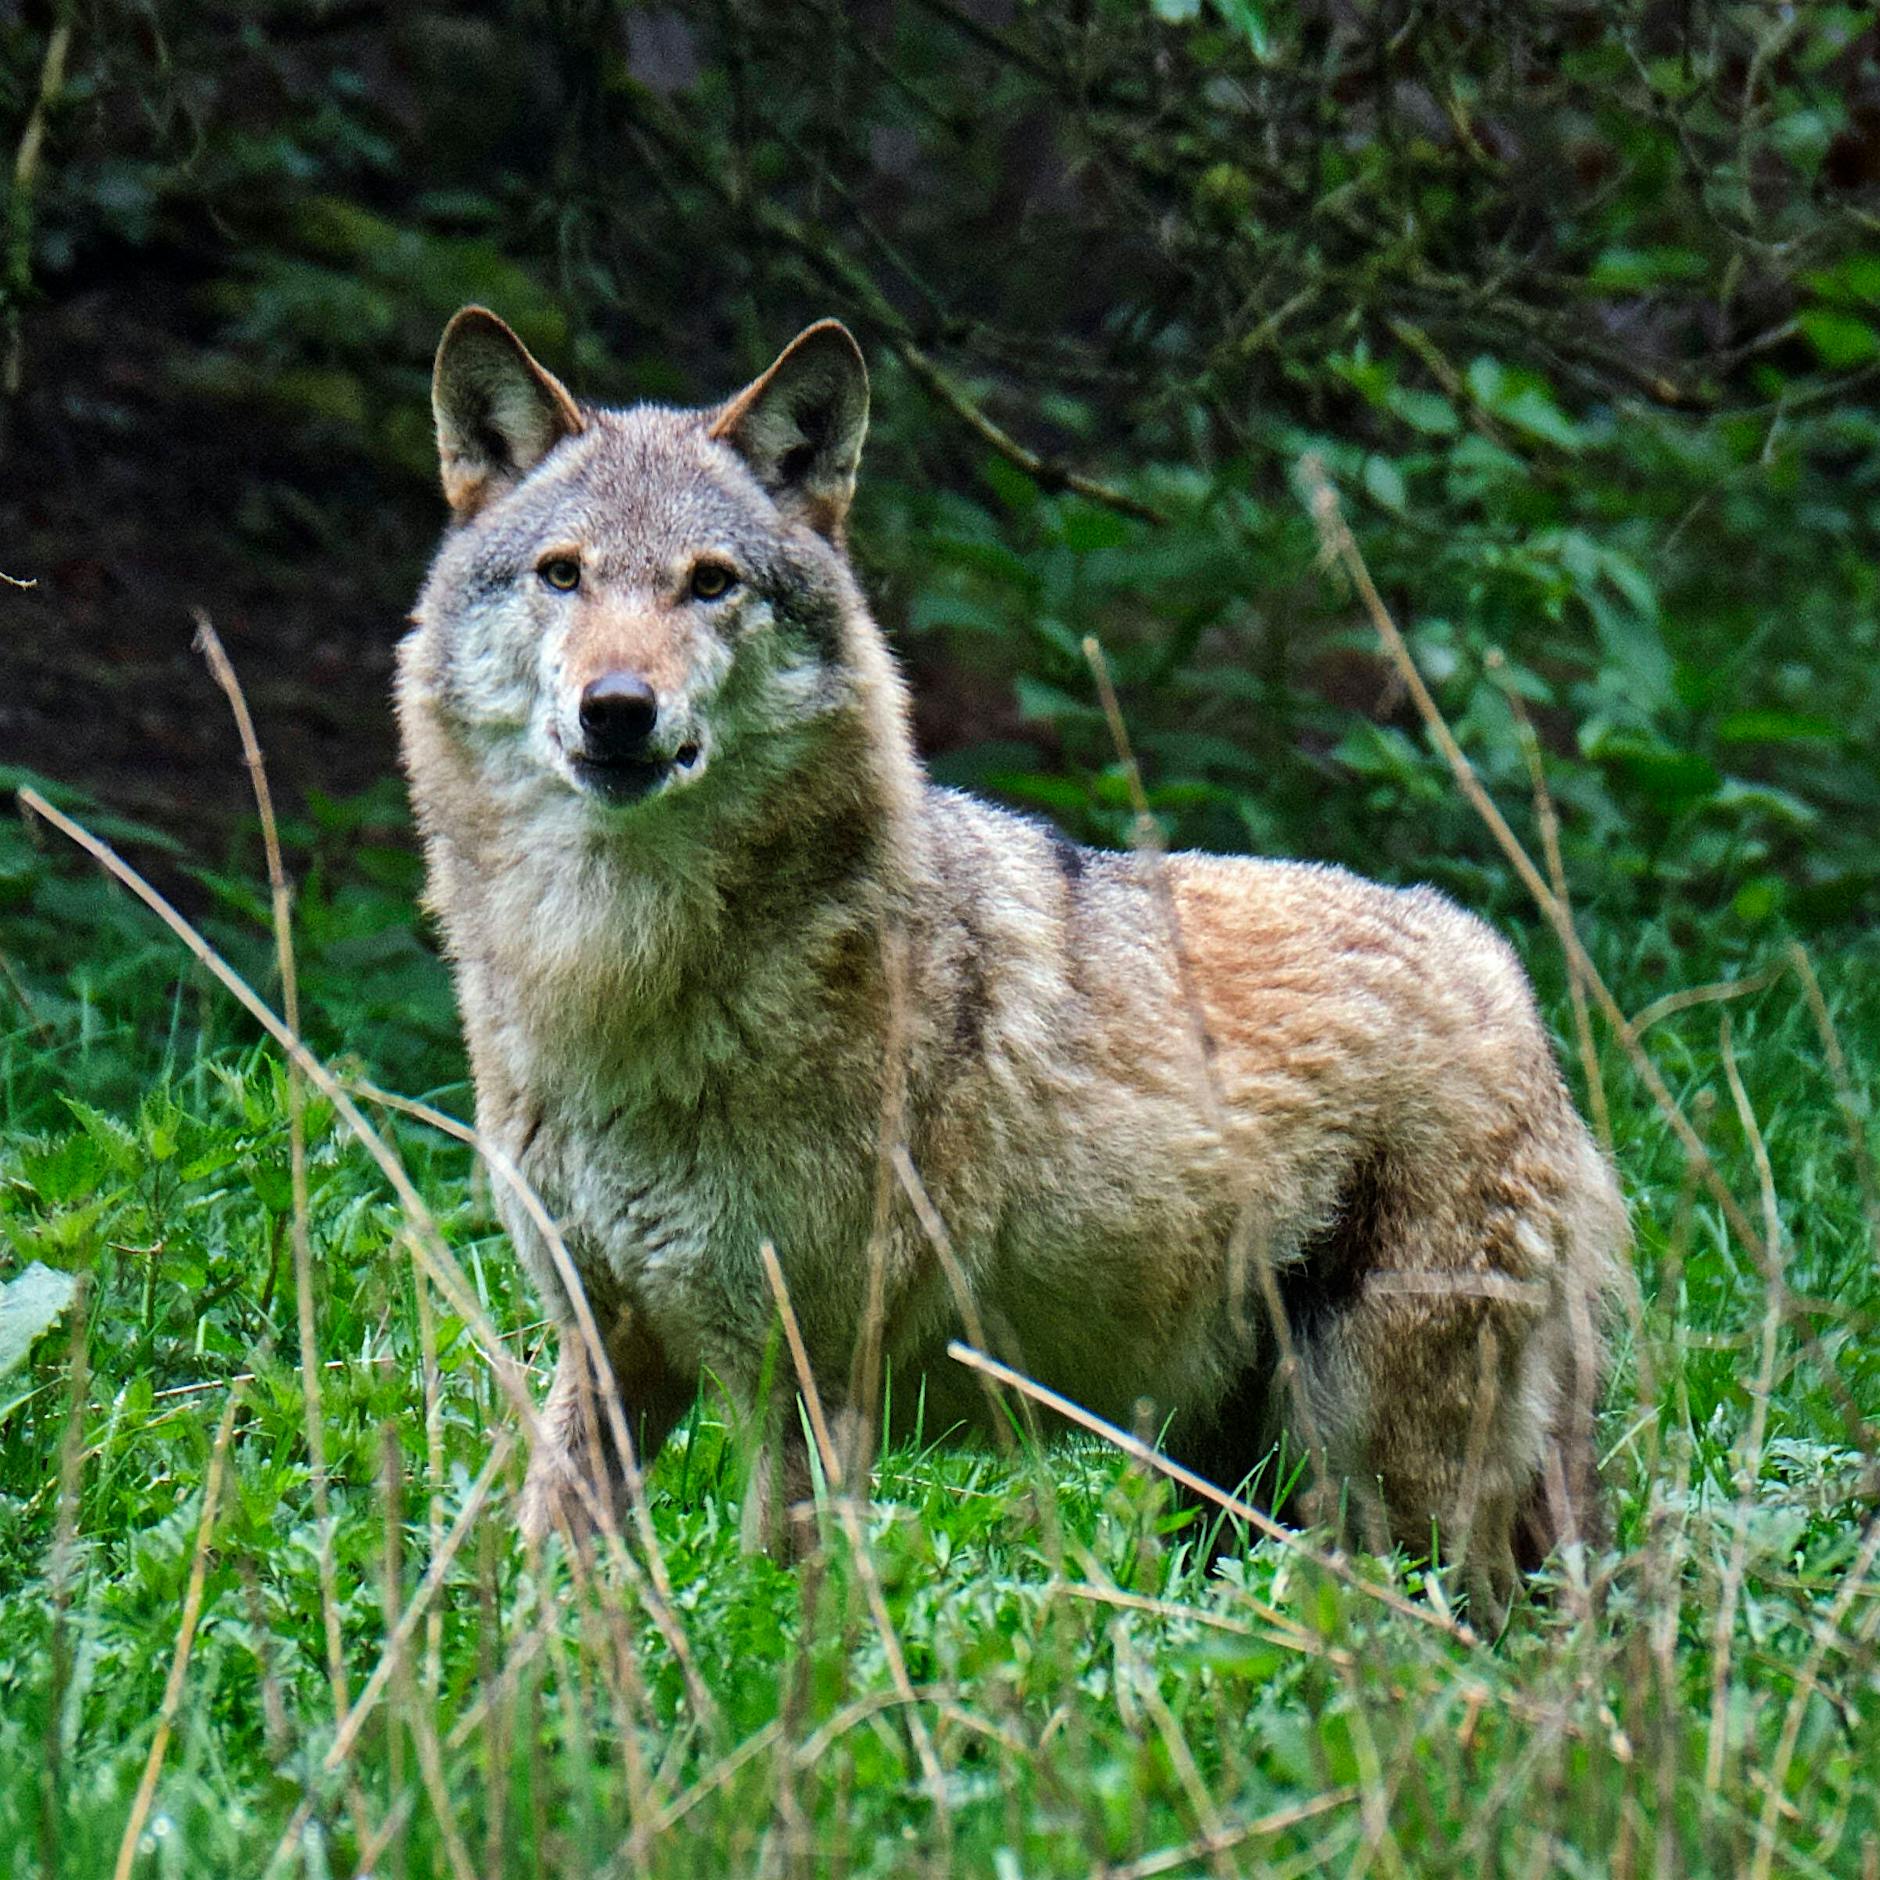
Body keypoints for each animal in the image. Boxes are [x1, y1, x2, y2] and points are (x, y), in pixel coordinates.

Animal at [397, 306, 1627, 1617]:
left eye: (710, 582)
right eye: (562, 573)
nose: (617, 707)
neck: (616, 976)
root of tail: (1504, 974)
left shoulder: (811, 1379)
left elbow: (790, 1611)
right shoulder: (604, 1345)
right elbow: (548, 1565)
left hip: (1384, 1486)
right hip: (1226, 1486)